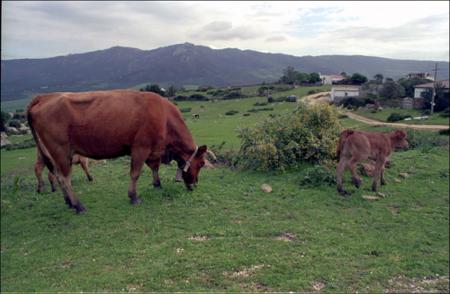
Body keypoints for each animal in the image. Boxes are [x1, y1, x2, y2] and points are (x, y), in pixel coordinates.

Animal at [26, 90, 206, 214]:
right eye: (202, 164)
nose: (195, 185)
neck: (165, 117)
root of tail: (44, 96)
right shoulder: (140, 147)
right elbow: (135, 173)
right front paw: (133, 197)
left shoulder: (153, 150)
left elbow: (154, 167)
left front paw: (157, 184)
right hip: (60, 150)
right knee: (64, 178)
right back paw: (78, 206)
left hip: (53, 154)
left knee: (56, 175)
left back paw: (68, 202)